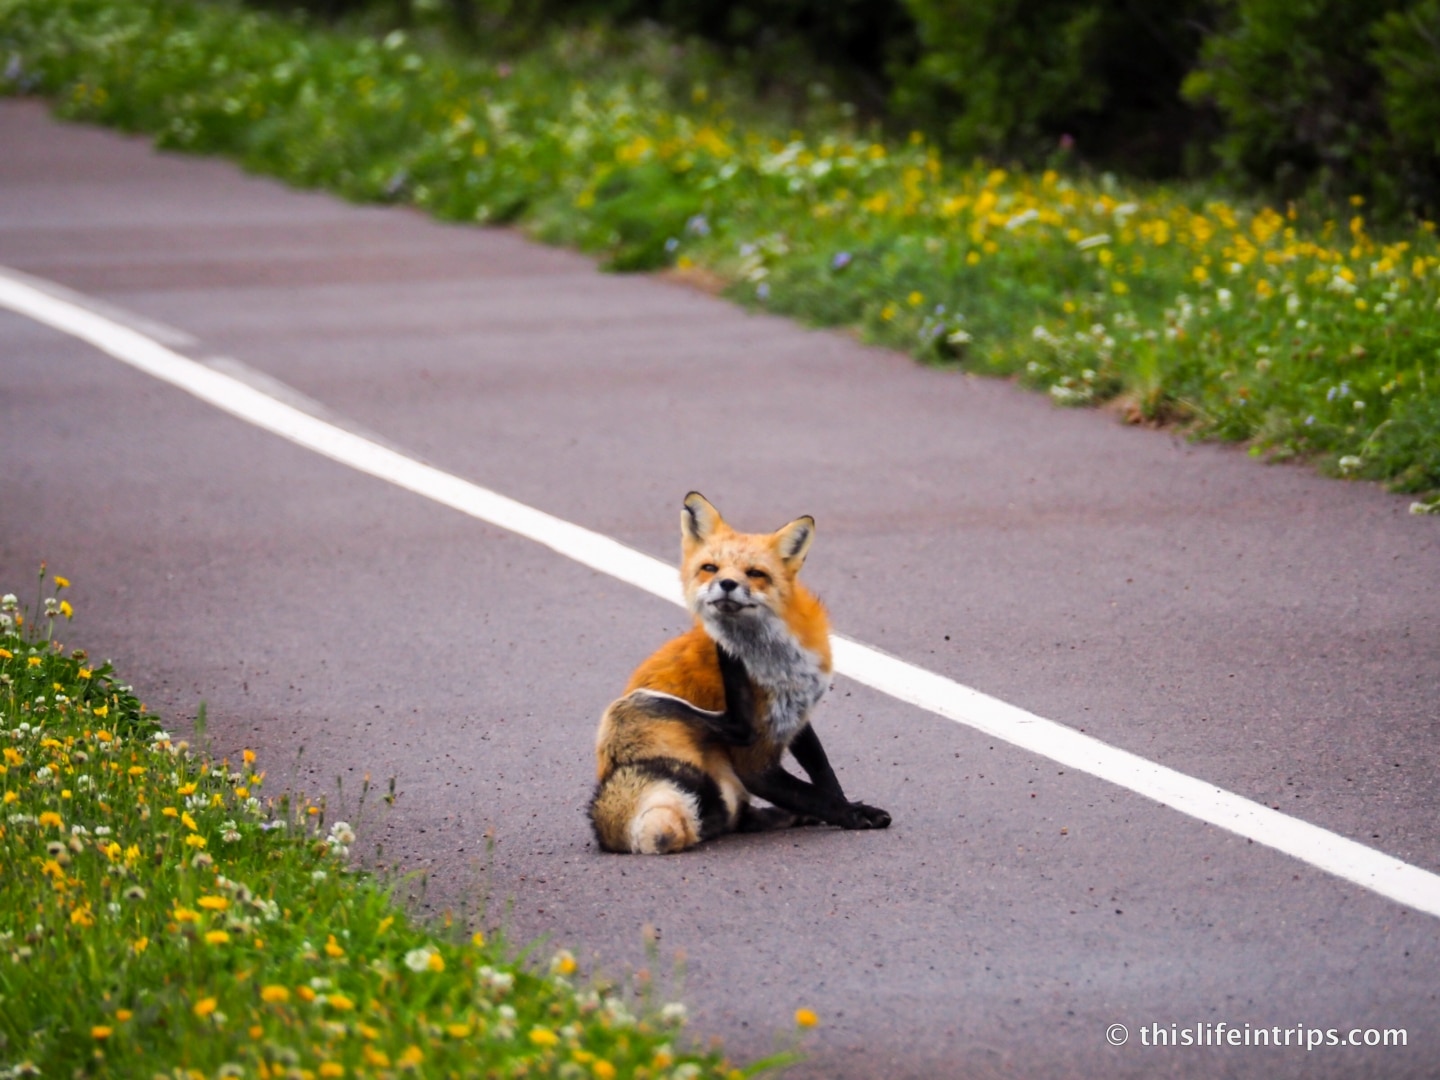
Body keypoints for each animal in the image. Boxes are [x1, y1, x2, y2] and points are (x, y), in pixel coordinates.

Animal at [588, 492, 891, 854]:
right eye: (710, 568)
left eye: (755, 573)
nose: (728, 584)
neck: (778, 661)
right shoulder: (755, 764)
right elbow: (816, 795)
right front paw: (854, 814)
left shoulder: (796, 715)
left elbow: (824, 777)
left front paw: (847, 806)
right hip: (633, 708)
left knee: (742, 817)